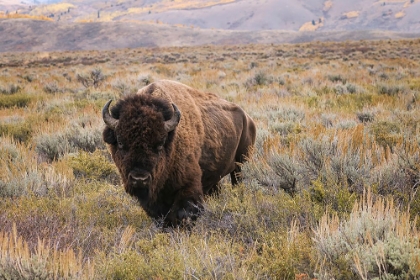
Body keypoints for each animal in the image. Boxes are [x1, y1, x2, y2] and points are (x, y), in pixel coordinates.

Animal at [103, 80, 258, 226]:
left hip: (240, 165)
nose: (139, 178)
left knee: (237, 181)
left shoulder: (188, 185)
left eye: (160, 144)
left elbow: (182, 212)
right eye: (121, 142)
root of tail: (248, 118)